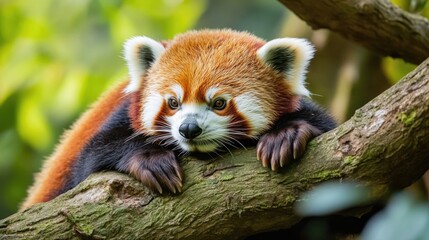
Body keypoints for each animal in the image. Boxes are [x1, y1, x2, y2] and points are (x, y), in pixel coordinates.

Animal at [20, 29, 334, 209]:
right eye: (173, 103)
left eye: (219, 103)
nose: (188, 129)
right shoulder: (117, 117)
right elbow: (91, 159)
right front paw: (150, 159)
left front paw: (285, 134)